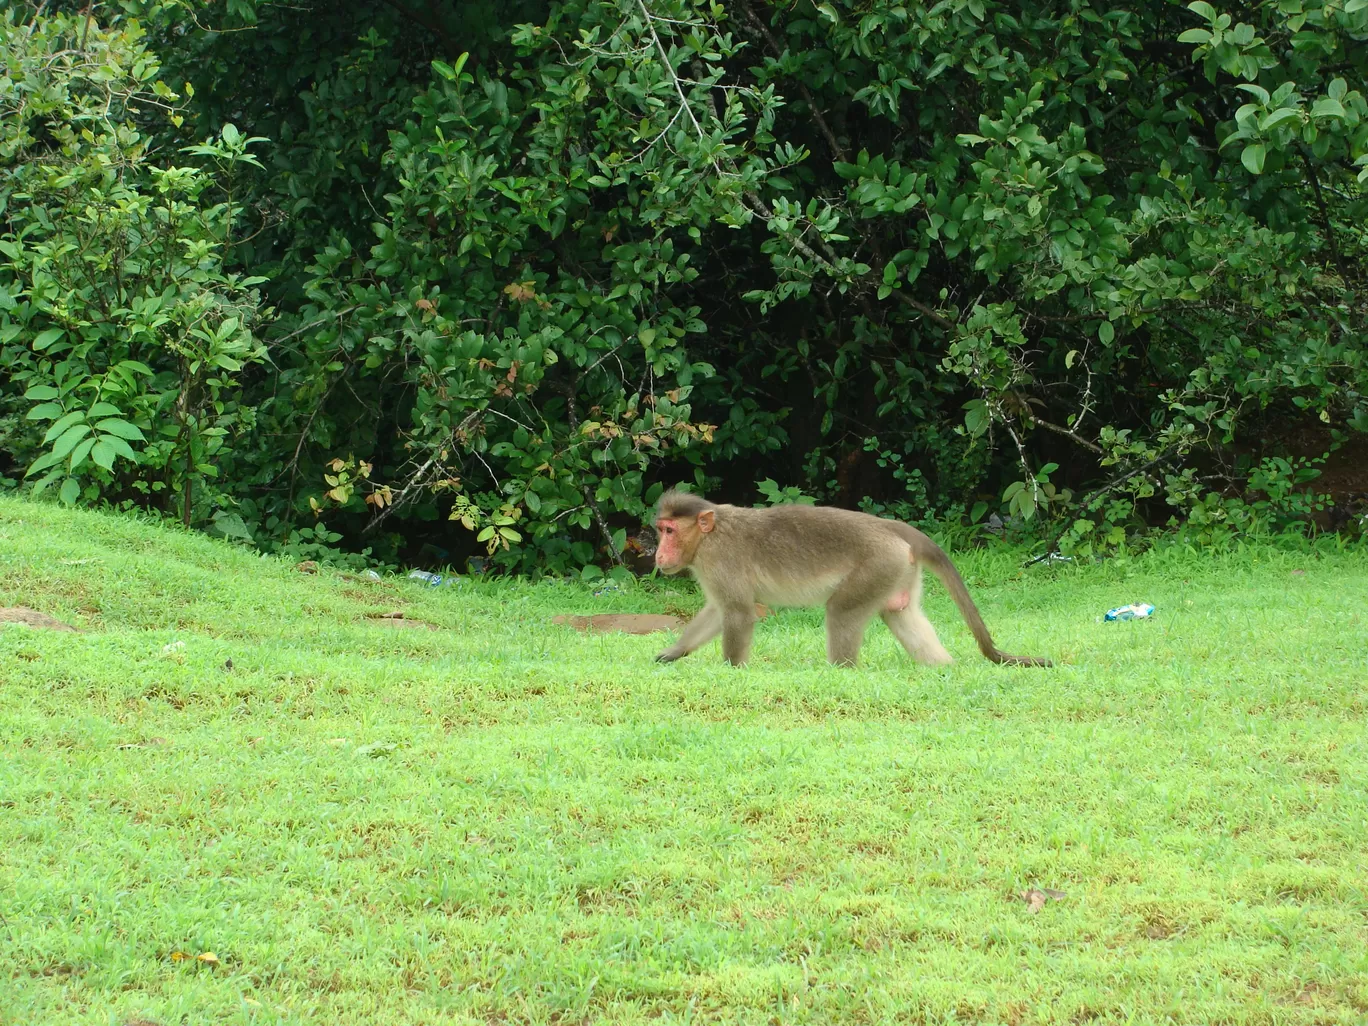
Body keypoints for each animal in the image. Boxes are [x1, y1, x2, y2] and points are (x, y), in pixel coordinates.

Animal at [645, 492, 1050, 670]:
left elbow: (738, 613)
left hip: (878, 563)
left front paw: (731, 670)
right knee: (900, 615)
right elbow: (718, 611)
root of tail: (894, 529)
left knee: (841, 610)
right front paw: (675, 652)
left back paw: (842, 671)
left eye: (668, 531)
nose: (657, 556)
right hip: (897, 569)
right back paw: (943, 668)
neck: (708, 537)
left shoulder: (719, 560)